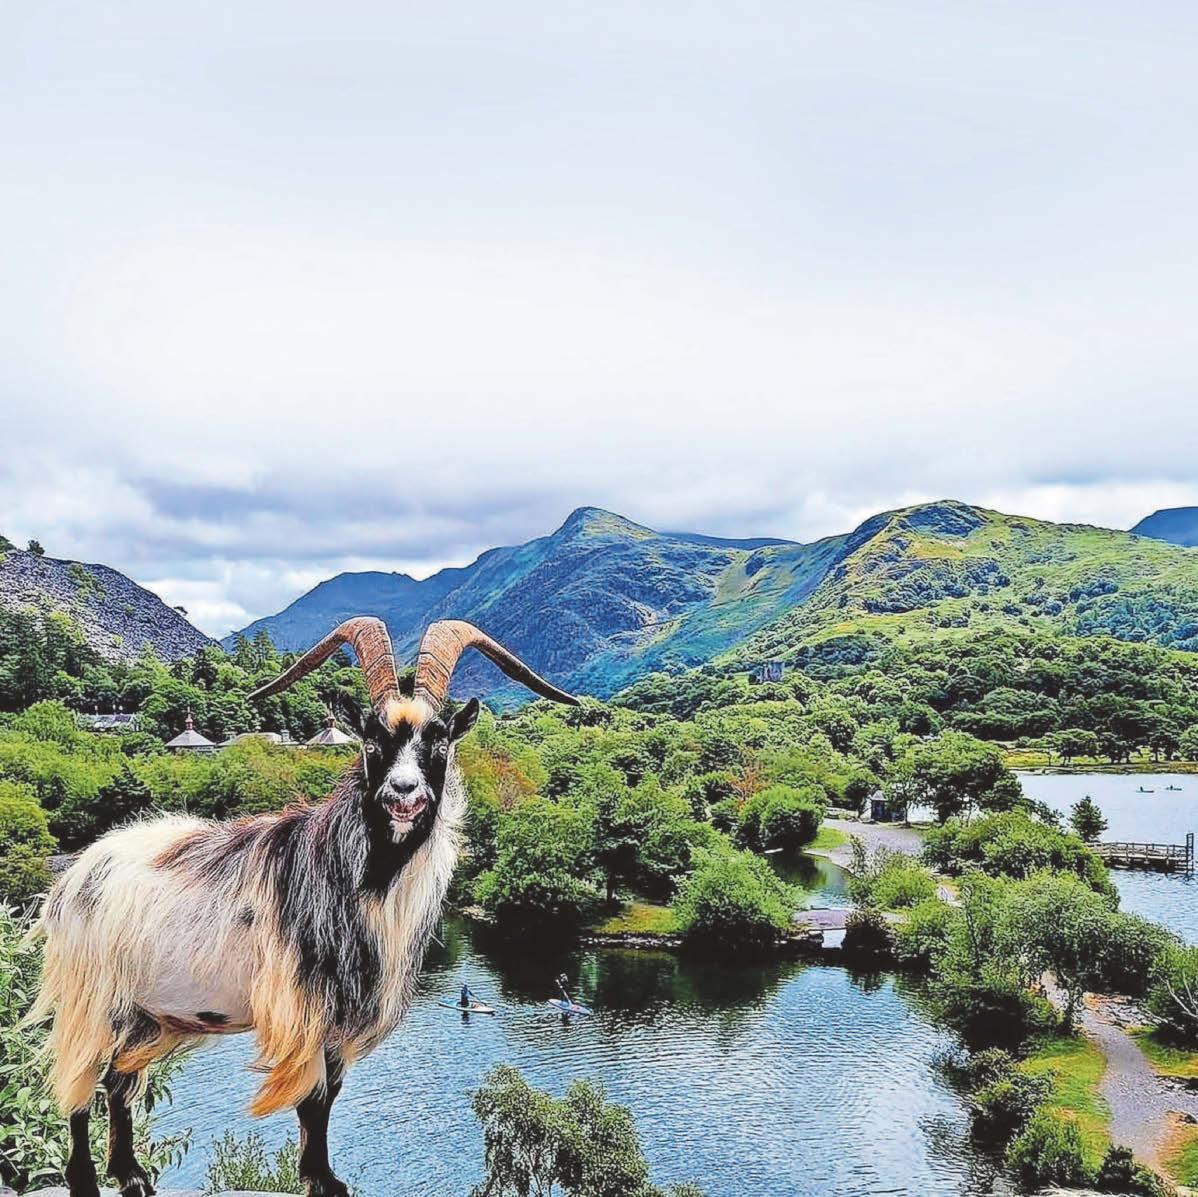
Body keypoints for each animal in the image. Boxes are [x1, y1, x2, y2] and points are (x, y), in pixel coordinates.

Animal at [30, 618, 578, 1197]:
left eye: (440, 740)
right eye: (372, 740)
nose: (403, 794)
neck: (354, 876)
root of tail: (77, 872)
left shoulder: (337, 1020)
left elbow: (328, 1096)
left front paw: (324, 1174)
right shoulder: (306, 1005)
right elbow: (311, 1098)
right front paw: (319, 1179)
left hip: (145, 1012)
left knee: (118, 1078)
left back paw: (130, 1174)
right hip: (92, 994)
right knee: (80, 1078)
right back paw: (87, 1179)